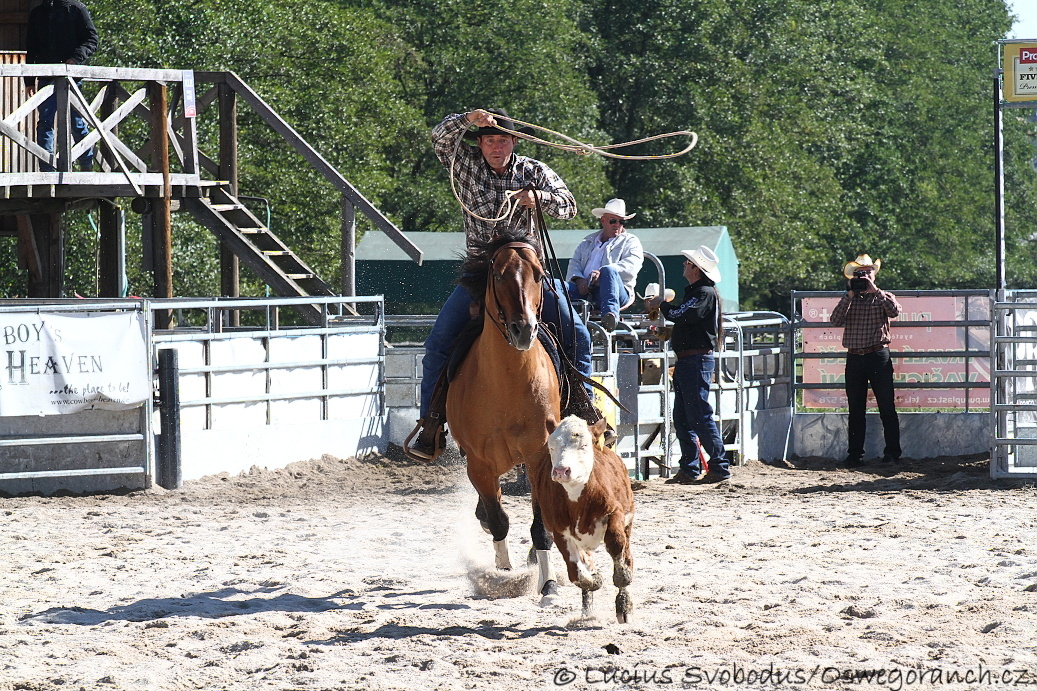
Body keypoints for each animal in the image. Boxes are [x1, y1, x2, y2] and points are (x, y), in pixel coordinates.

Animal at [443, 228, 564, 601]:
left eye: (539, 274)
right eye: (497, 275)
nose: (523, 329)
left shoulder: (540, 456)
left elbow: (540, 527)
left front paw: (548, 584)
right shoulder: (478, 463)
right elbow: (498, 520)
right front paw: (503, 573)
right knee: (492, 507)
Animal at [535, 417, 630, 622]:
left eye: (584, 445)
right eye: (552, 446)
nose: (561, 470)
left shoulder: (615, 513)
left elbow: (616, 545)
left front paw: (623, 590)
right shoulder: (559, 531)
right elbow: (575, 573)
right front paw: (595, 579)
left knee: (627, 553)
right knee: (585, 562)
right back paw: (587, 609)